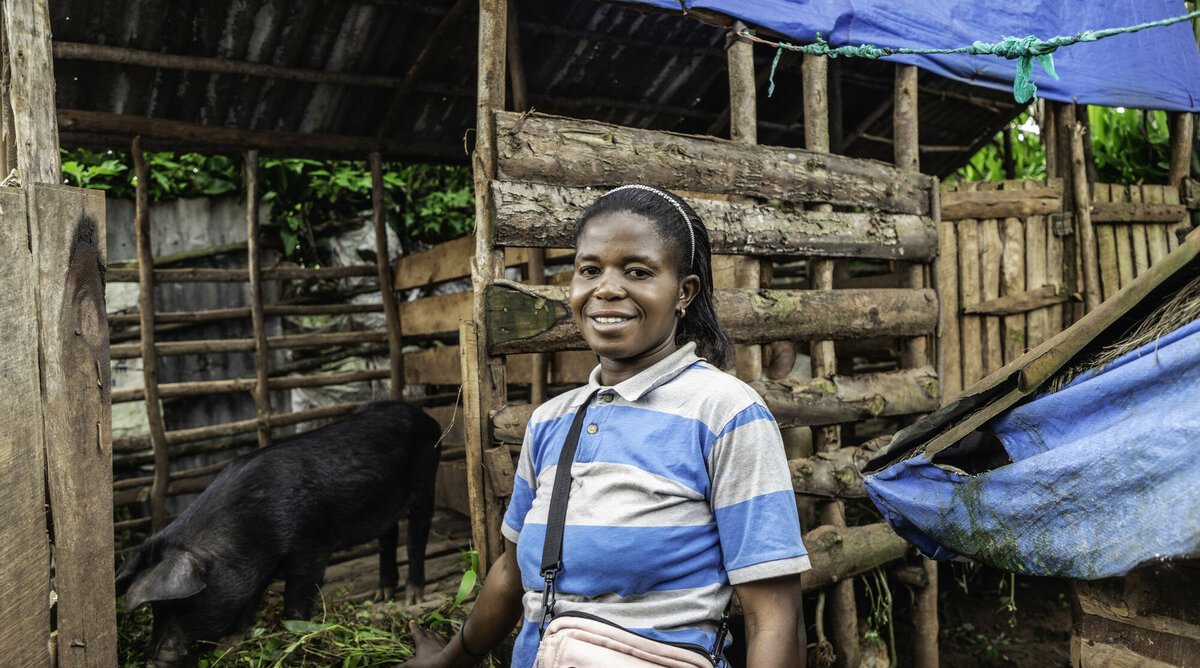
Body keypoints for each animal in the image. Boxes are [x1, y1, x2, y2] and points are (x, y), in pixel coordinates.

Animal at [114, 398, 444, 662]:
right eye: (155, 611)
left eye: (184, 604)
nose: (154, 661)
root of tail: (427, 418)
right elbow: (248, 600)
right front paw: (230, 645)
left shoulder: (310, 546)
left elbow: (297, 594)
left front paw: (292, 636)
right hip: (385, 506)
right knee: (389, 537)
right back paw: (381, 596)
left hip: (427, 480)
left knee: (417, 537)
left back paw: (412, 598)